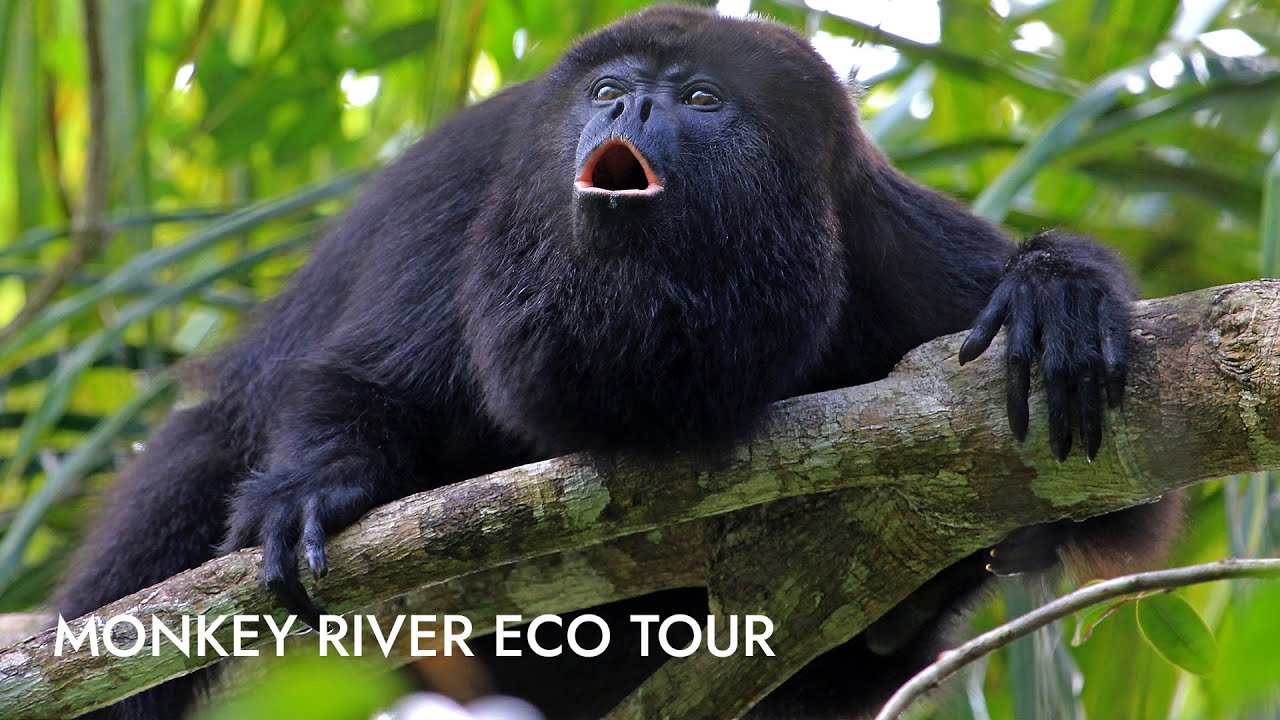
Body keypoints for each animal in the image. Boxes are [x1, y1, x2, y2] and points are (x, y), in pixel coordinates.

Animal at [56, 7, 1181, 719]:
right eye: (606, 88)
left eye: (700, 97)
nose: (626, 110)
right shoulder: (475, 185)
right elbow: (369, 381)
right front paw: (313, 486)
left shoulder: (885, 239)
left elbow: (1118, 497)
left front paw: (1055, 293)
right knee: (190, 475)